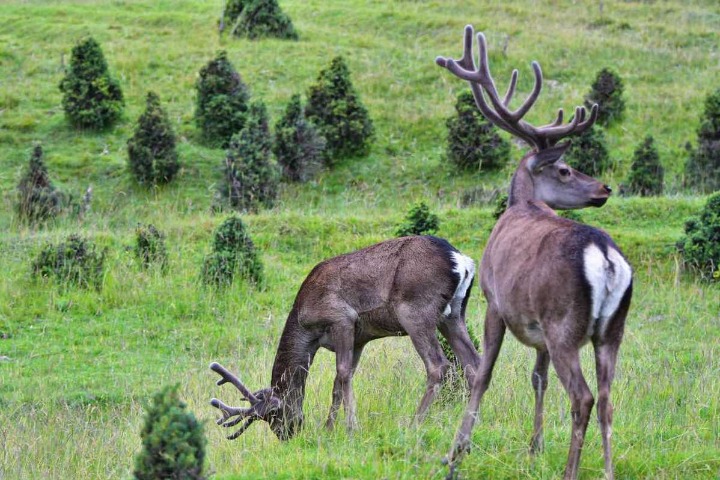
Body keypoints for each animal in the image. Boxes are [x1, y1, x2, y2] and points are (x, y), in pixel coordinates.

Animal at [208, 234, 480, 440]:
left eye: (273, 414)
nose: (286, 435)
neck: (306, 325)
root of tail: (462, 261)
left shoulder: (342, 318)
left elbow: (343, 373)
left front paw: (351, 428)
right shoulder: (360, 338)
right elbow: (338, 382)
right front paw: (329, 428)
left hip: (415, 310)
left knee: (439, 366)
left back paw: (413, 424)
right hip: (454, 314)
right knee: (473, 363)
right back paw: (475, 419)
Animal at [434, 27, 632, 480]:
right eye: (565, 169)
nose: (604, 188)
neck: (522, 204)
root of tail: (606, 257)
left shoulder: (495, 301)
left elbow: (482, 374)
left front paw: (456, 453)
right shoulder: (536, 326)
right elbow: (536, 377)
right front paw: (534, 447)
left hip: (565, 325)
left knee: (583, 397)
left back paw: (570, 471)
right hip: (611, 330)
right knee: (608, 400)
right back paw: (608, 471)